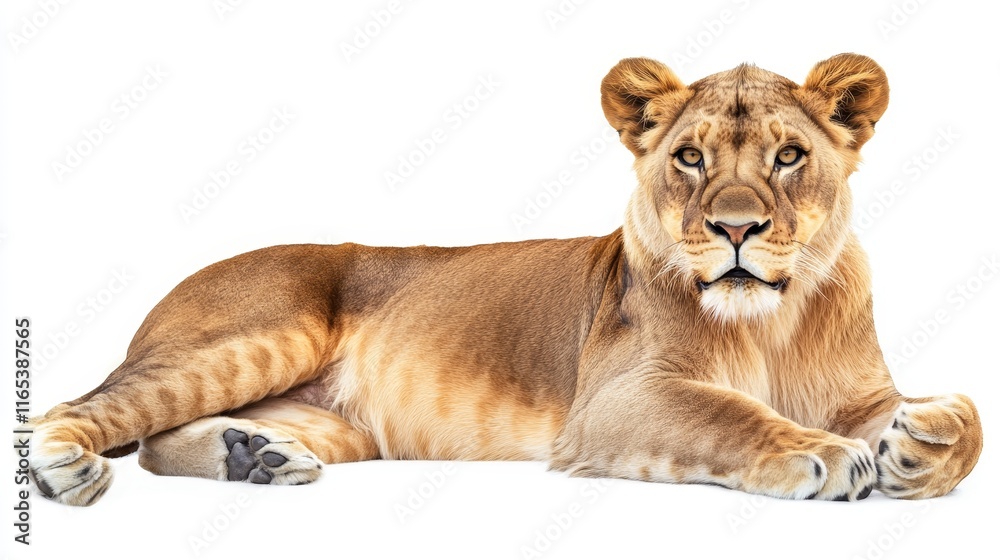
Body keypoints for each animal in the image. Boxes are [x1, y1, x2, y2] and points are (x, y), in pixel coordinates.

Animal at [27, 53, 981, 506]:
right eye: (689, 158)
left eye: (788, 157)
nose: (736, 228)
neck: (770, 322)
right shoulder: (617, 401)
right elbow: (730, 413)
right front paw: (820, 454)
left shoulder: (863, 392)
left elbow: (970, 417)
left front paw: (919, 448)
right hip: (253, 336)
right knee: (84, 408)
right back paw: (63, 471)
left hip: (333, 424)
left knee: (155, 442)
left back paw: (251, 456)